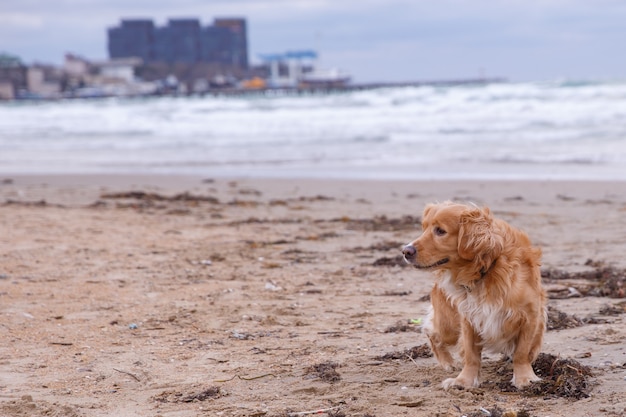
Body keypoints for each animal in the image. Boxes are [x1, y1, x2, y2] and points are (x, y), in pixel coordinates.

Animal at [402, 202, 544, 390]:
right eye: (423, 228)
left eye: (440, 231)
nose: (405, 251)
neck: (487, 267)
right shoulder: (470, 318)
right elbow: (471, 355)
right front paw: (464, 381)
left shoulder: (530, 317)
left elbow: (522, 352)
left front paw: (525, 378)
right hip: (448, 325)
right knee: (431, 332)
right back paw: (447, 362)